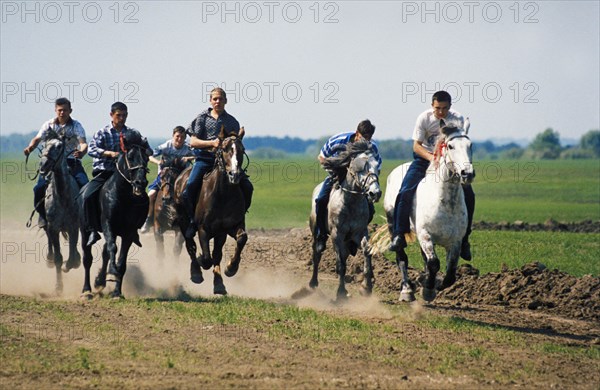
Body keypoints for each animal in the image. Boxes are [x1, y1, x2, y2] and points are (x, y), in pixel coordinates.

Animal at [38, 133, 81, 292]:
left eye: (59, 146)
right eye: (44, 145)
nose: (43, 165)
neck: (63, 197)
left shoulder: (74, 227)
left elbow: (72, 255)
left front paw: (71, 264)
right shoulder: (53, 228)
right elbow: (58, 257)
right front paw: (58, 287)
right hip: (47, 225)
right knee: (48, 238)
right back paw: (49, 259)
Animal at [79, 131, 149, 298]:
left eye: (147, 158)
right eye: (130, 157)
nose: (140, 183)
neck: (123, 196)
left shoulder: (128, 232)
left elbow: (121, 261)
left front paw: (117, 292)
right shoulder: (108, 224)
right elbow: (112, 248)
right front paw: (112, 272)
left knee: (104, 253)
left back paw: (100, 281)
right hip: (84, 230)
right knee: (87, 258)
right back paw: (86, 290)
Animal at [173, 129, 248, 294]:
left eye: (242, 149)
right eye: (225, 149)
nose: (235, 175)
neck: (223, 194)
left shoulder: (228, 228)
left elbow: (241, 239)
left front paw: (230, 268)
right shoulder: (203, 229)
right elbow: (206, 258)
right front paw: (201, 262)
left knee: (215, 254)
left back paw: (219, 282)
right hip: (183, 222)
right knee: (190, 246)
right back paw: (196, 273)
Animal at [310, 140, 380, 302]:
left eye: (377, 166)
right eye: (361, 167)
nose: (375, 193)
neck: (350, 202)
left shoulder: (360, 232)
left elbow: (367, 251)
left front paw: (366, 287)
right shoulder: (337, 235)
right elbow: (340, 264)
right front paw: (340, 292)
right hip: (317, 232)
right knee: (317, 253)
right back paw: (313, 283)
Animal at [384, 120, 474, 304]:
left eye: (470, 145)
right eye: (450, 146)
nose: (467, 174)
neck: (445, 202)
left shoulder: (455, 242)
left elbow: (450, 274)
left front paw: (432, 286)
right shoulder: (426, 235)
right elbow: (434, 263)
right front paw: (427, 289)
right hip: (393, 226)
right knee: (401, 257)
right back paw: (407, 291)